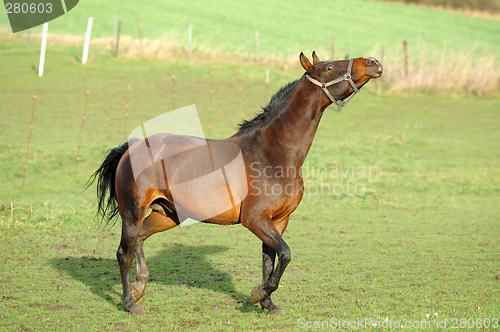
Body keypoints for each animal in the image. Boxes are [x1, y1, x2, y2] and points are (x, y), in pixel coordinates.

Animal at [89, 52, 382, 314]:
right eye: (330, 67)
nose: (373, 63)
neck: (273, 153)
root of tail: (132, 147)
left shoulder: (278, 220)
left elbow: (270, 261)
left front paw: (268, 305)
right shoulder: (255, 219)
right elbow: (286, 254)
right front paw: (257, 295)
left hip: (165, 214)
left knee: (139, 240)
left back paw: (140, 288)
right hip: (133, 211)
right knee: (123, 253)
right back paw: (130, 304)